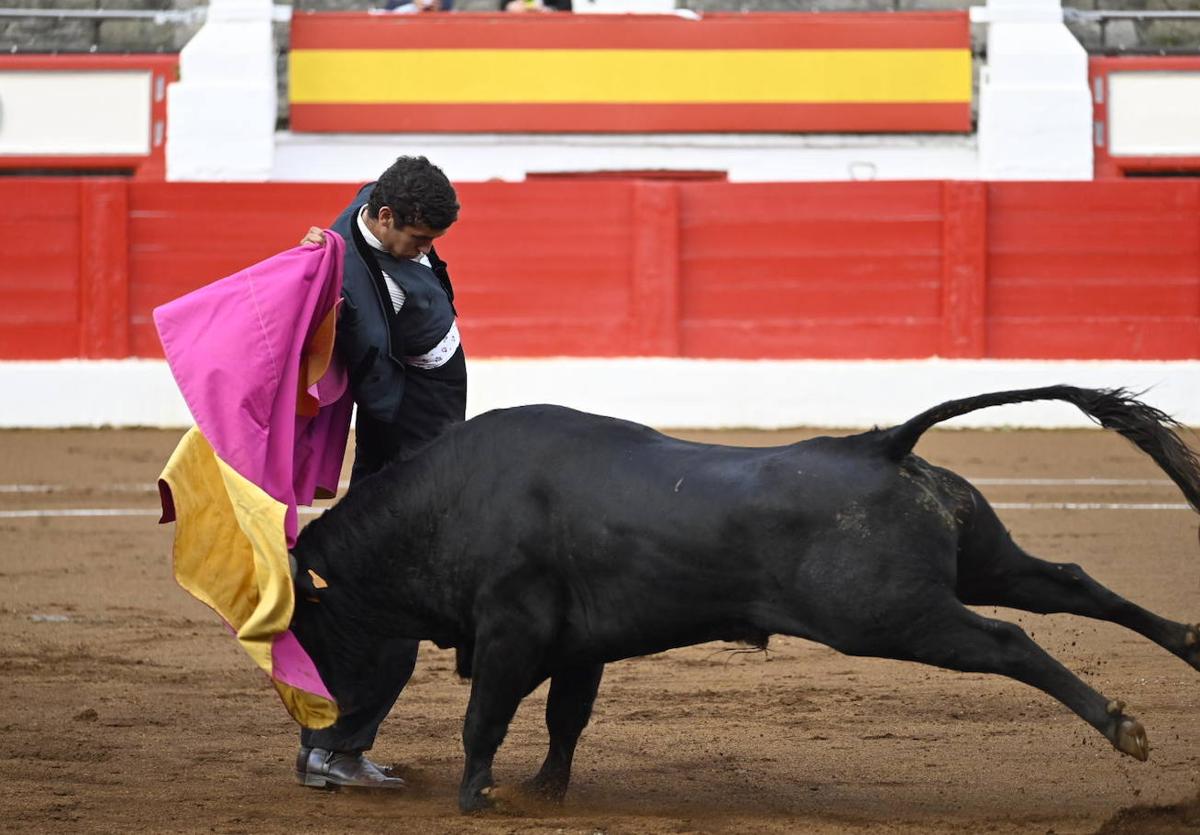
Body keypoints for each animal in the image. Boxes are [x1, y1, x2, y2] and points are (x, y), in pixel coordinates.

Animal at [290, 388, 1200, 811]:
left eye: (309, 620)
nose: (313, 719)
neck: (446, 502)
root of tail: (880, 444)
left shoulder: (512, 630)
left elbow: (486, 718)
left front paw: (478, 796)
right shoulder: (579, 646)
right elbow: (564, 720)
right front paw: (545, 791)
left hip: (893, 616)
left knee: (1010, 640)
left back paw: (1123, 726)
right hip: (981, 562)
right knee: (1070, 581)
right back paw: (1188, 643)